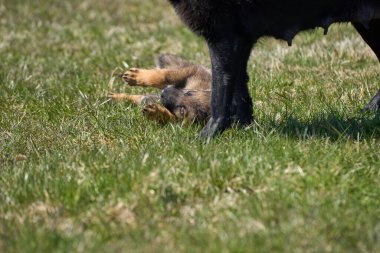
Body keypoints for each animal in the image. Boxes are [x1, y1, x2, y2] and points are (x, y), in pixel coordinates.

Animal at [167, 0, 380, 138]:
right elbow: (239, 90)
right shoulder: (241, 40)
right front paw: (243, 129)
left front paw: (208, 137)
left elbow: (220, 91)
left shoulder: (223, 36)